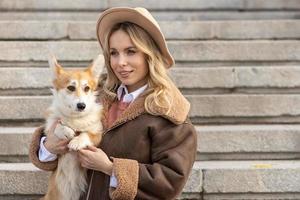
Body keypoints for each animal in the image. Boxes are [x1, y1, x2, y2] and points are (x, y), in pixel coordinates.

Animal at [43, 54, 104, 200]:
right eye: (71, 87)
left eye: (87, 88)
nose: (82, 106)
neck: (75, 119)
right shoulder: (50, 128)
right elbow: (58, 126)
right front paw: (66, 131)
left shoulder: (97, 134)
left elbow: (86, 134)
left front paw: (76, 141)